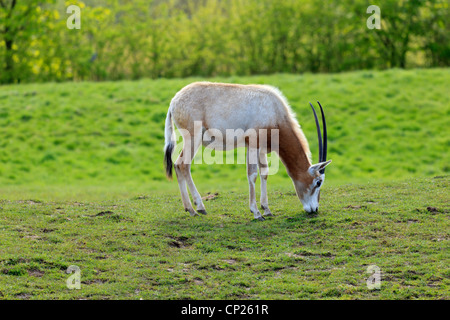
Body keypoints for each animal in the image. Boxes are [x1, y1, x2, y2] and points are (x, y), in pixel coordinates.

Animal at [164, 82, 330, 221]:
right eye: (318, 182)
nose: (314, 209)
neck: (274, 112)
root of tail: (174, 101)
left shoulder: (261, 149)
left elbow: (264, 173)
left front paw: (266, 209)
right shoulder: (252, 144)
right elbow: (252, 175)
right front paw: (256, 213)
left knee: (178, 165)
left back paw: (189, 208)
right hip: (193, 138)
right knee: (183, 165)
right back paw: (197, 208)